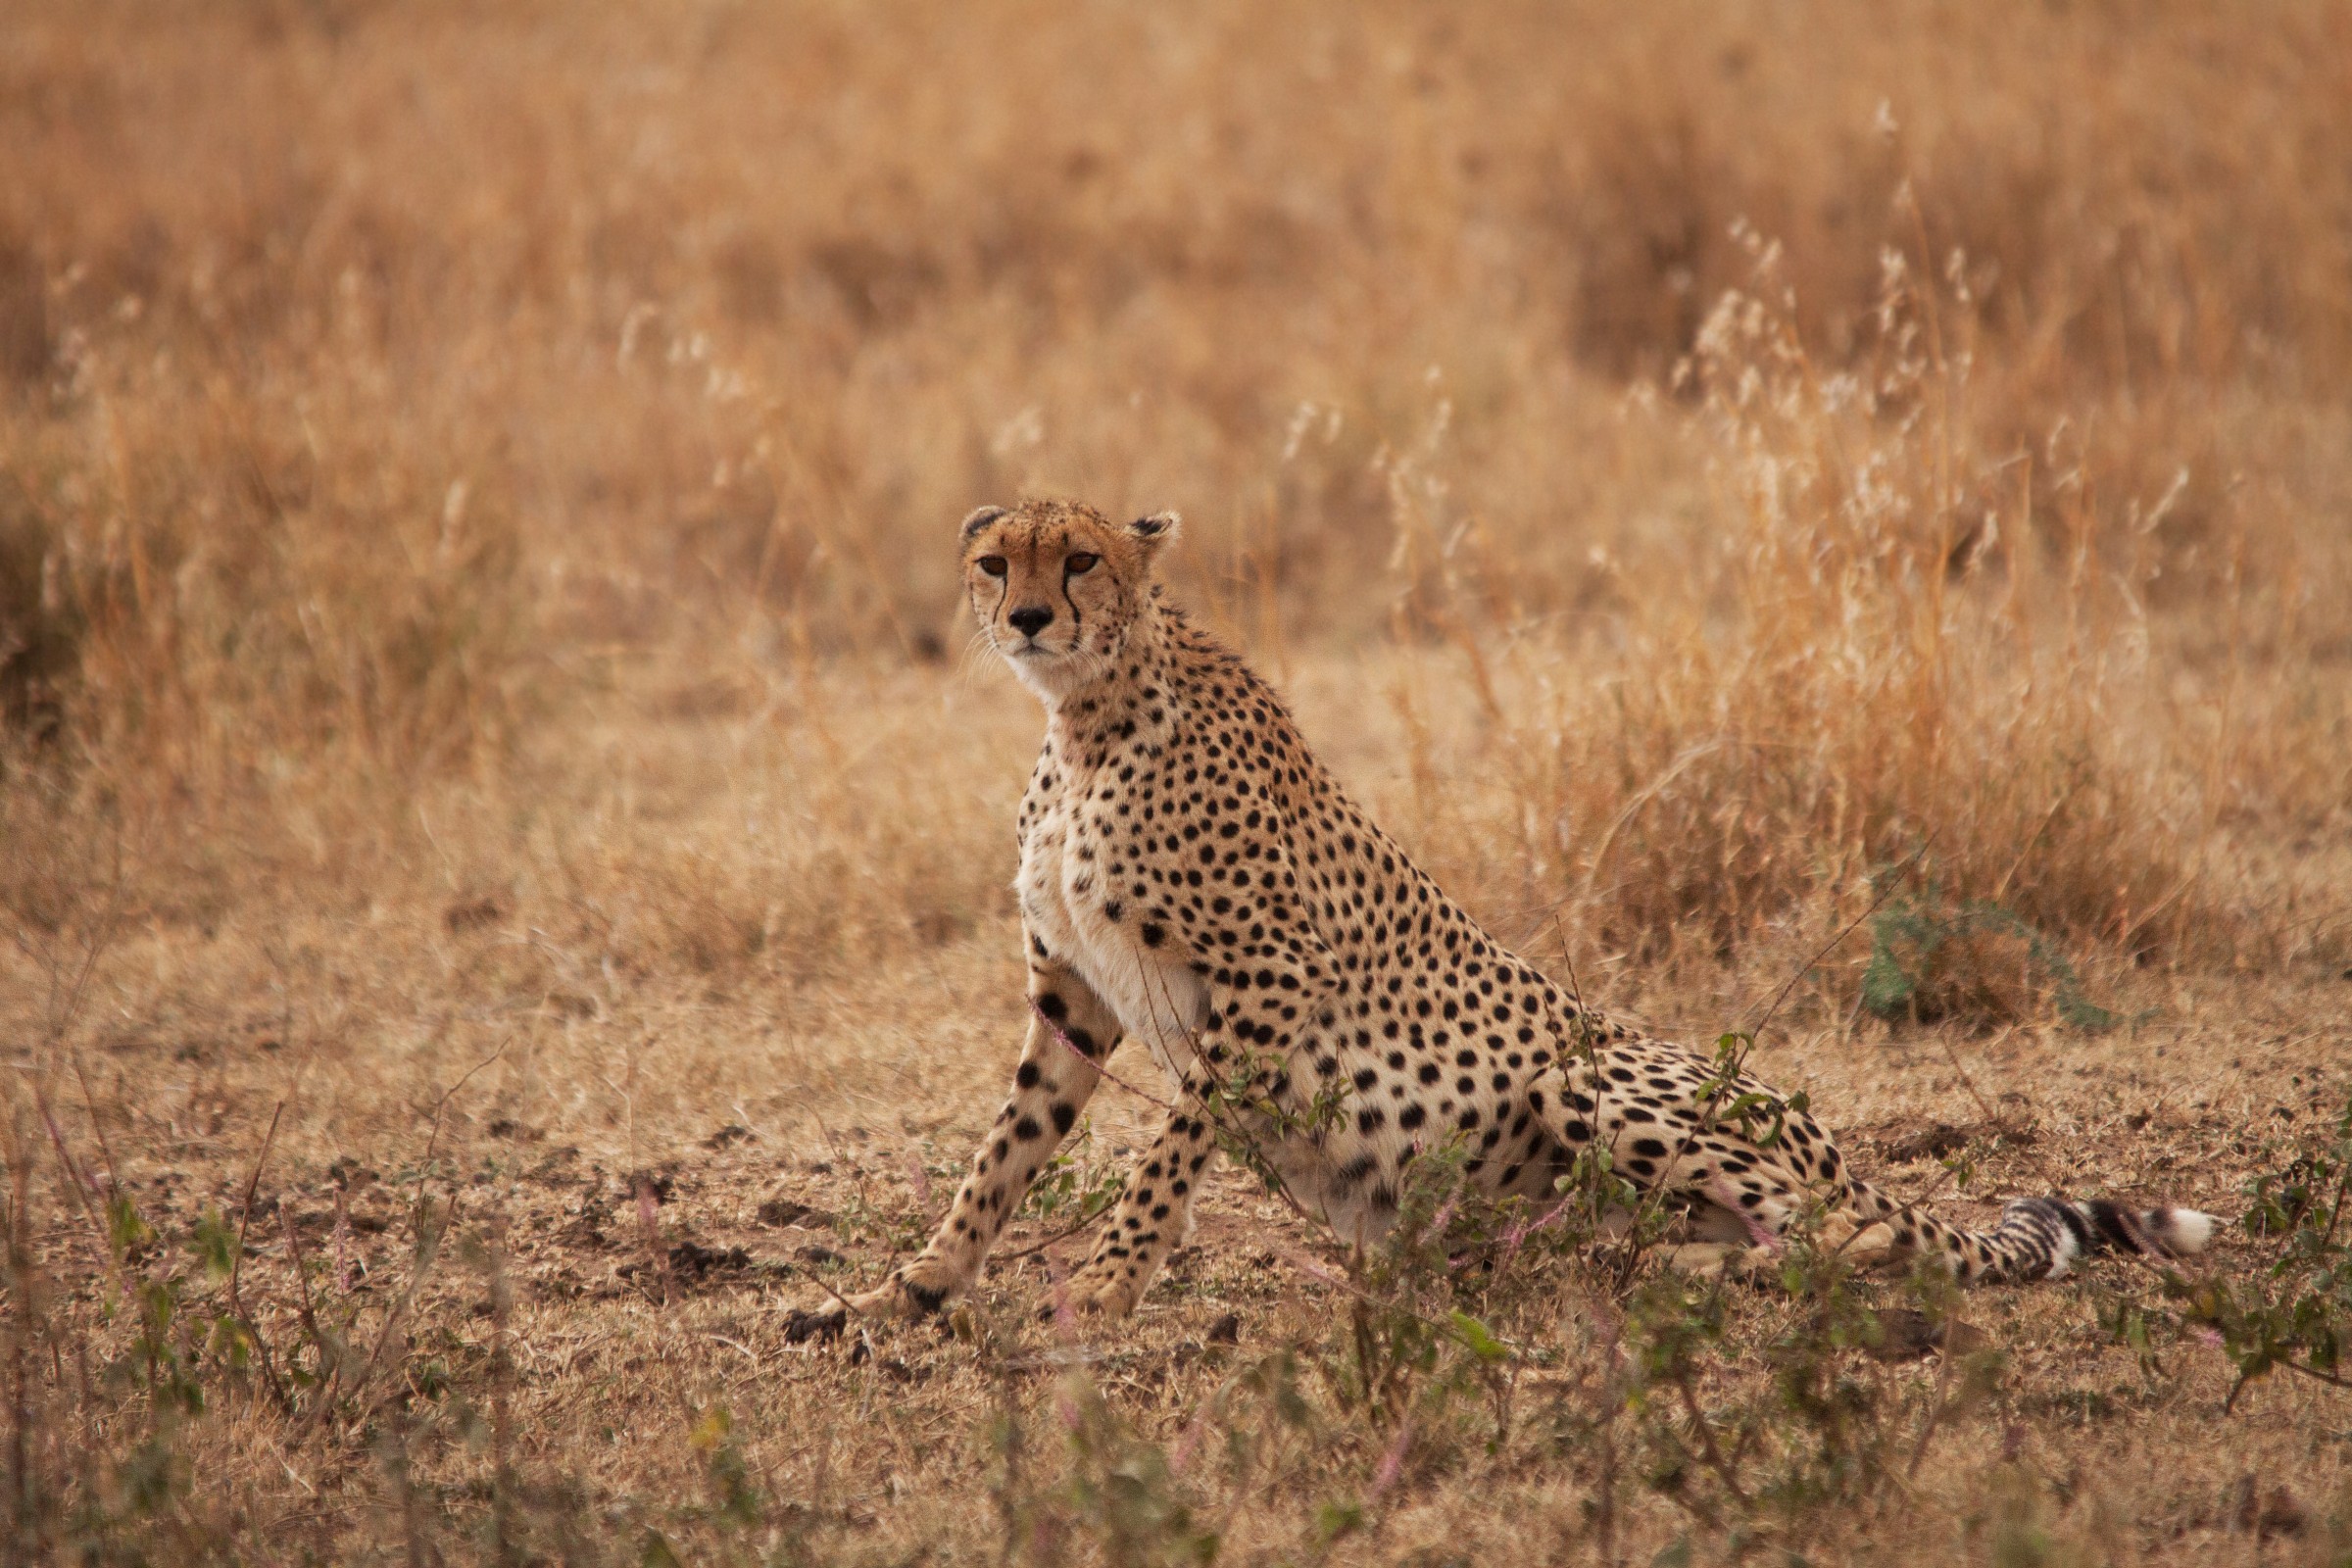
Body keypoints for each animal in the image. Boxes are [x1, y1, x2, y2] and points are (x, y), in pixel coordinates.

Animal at [801, 497, 2212, 1333]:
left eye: (1082, 558)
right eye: (997, 561)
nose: (1029, 614)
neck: (1087, 716)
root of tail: (1829, 1137)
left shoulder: (1262, 983)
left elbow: (1160, 1160)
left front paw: (1101, 1287)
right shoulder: (1075, 996)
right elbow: (1004, 1152)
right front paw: (909, 1283)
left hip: (1585, 1081)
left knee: (1834, 1237)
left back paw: (1643, 1265)